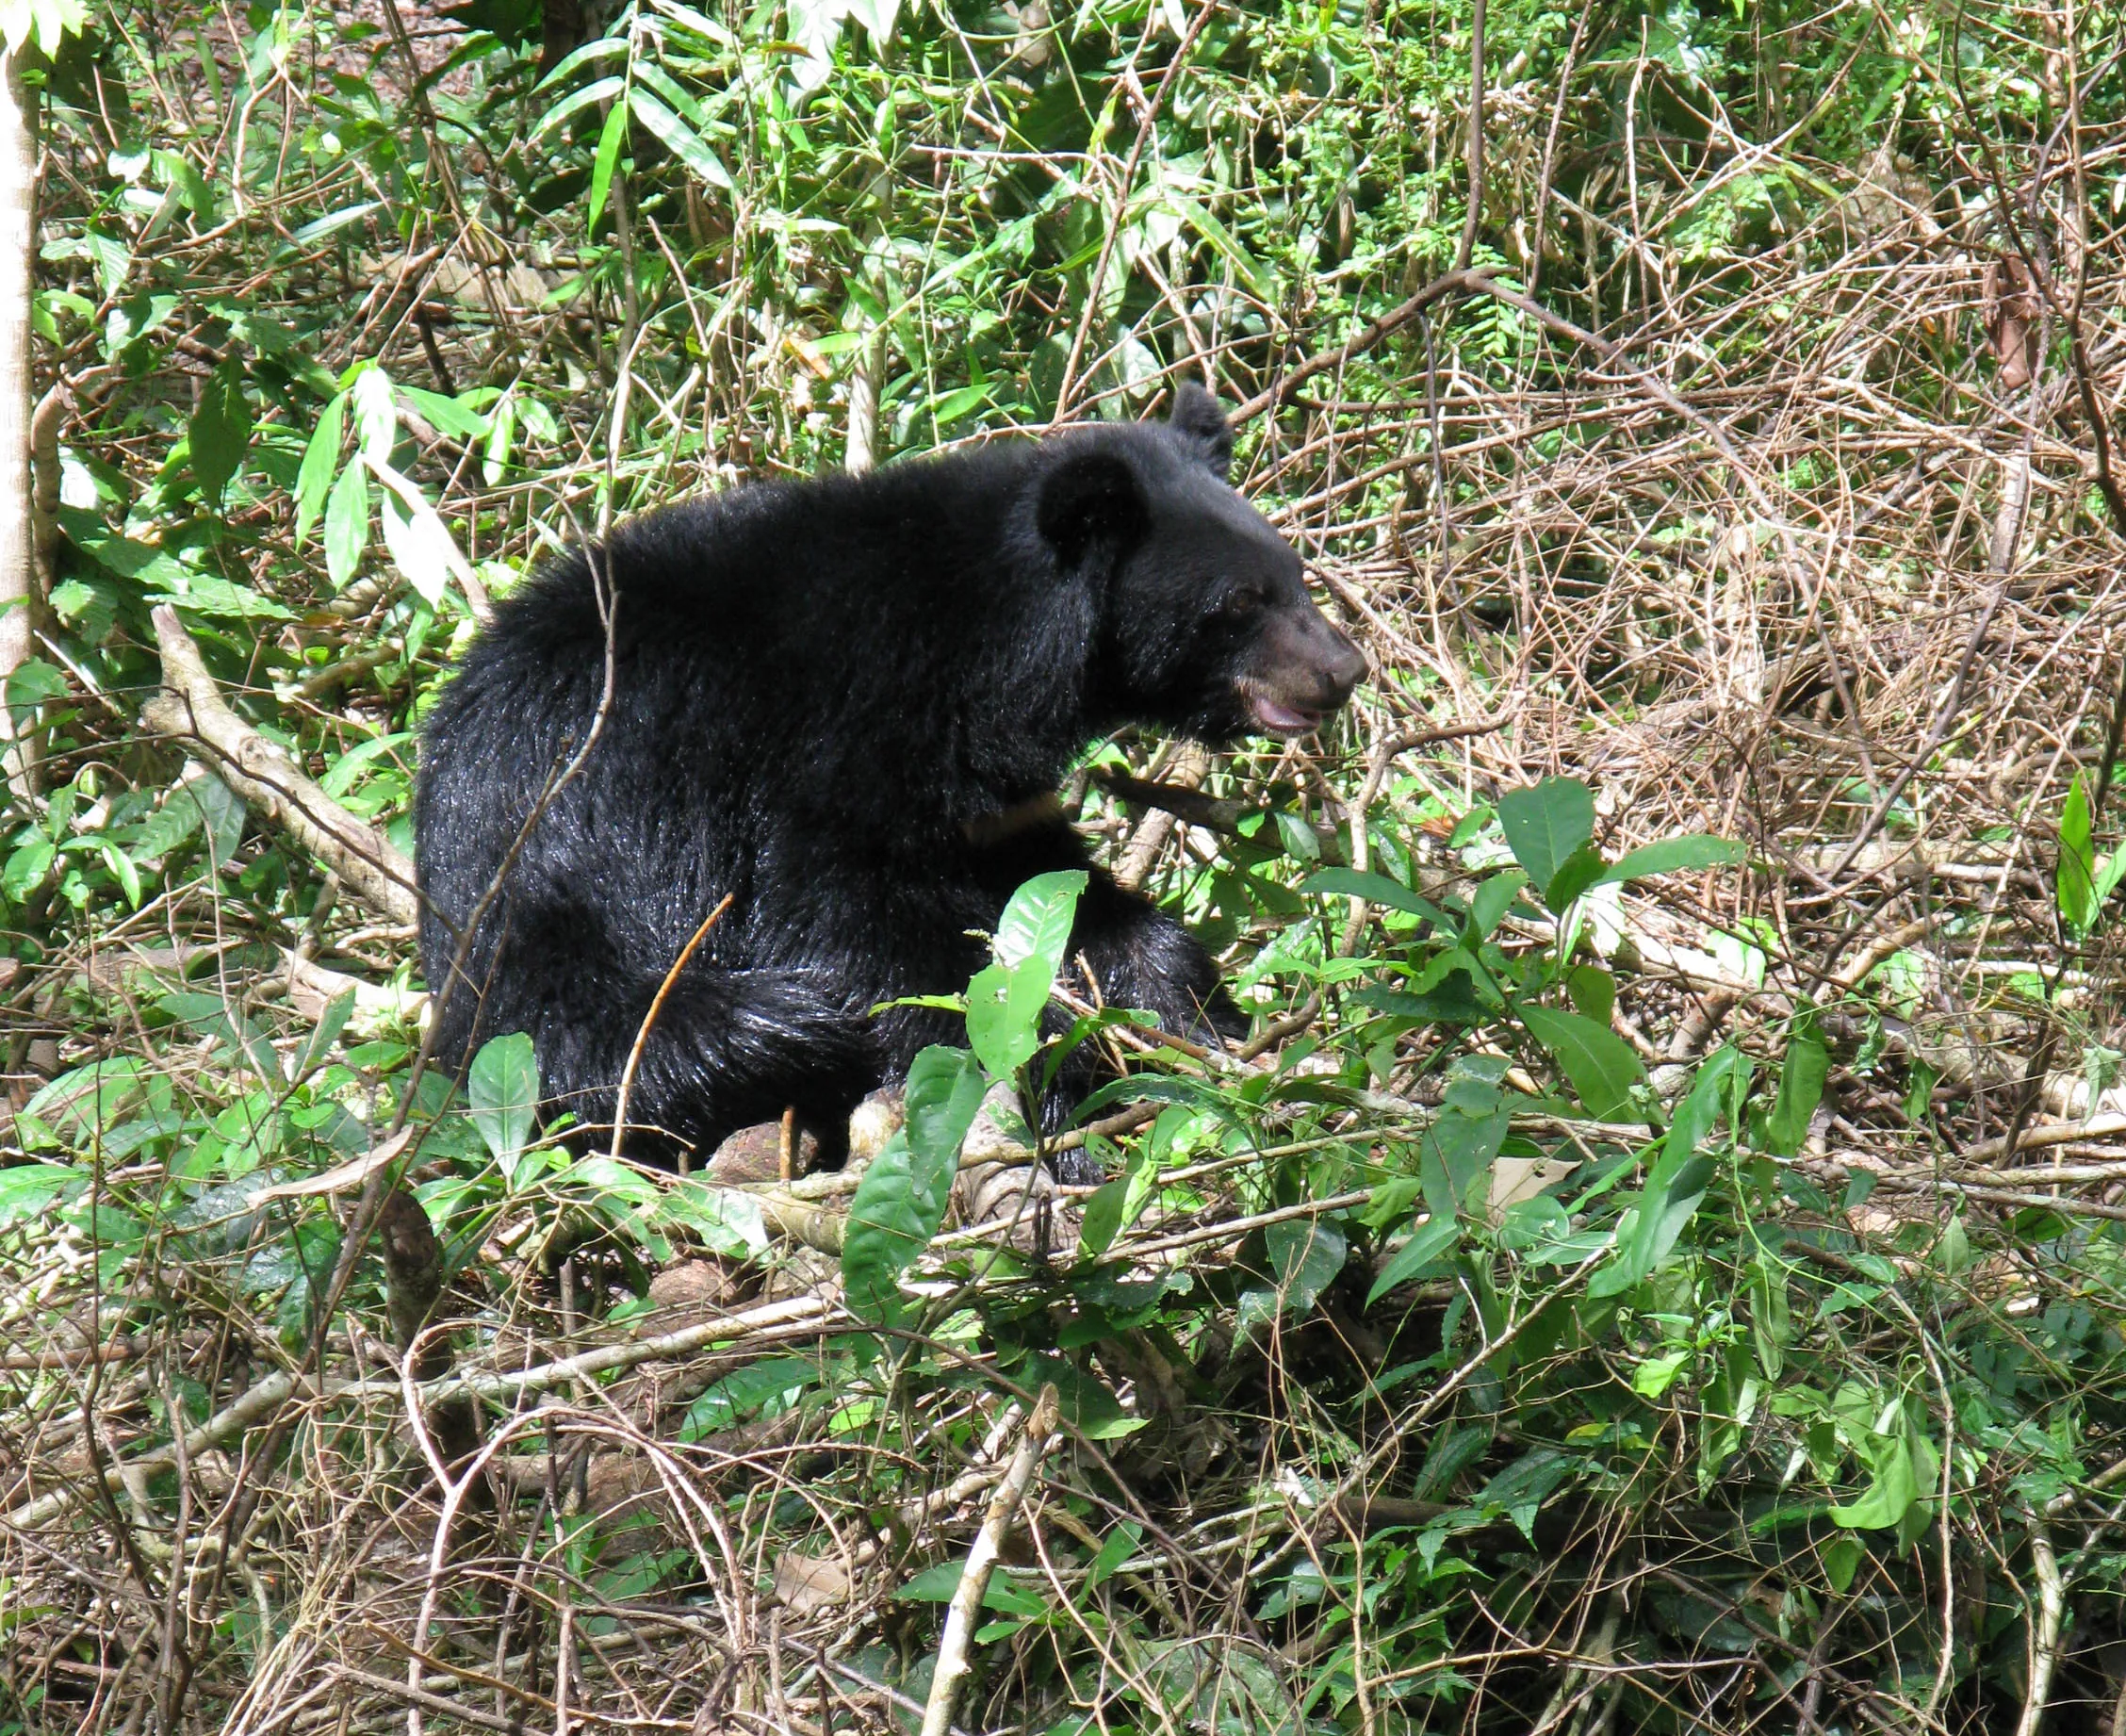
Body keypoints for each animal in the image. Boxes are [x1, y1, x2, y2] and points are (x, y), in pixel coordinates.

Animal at [418, 386, 1360, 1174]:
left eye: (1294, 576)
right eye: (1238, 604)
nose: (1343, 671)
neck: (993, 656)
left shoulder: (992, 803)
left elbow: (1061, 892)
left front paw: (1202, 1022)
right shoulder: (822, 746)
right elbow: (851, 924)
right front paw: (1064, 1094)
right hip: (551, 899)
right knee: (637, 1040)